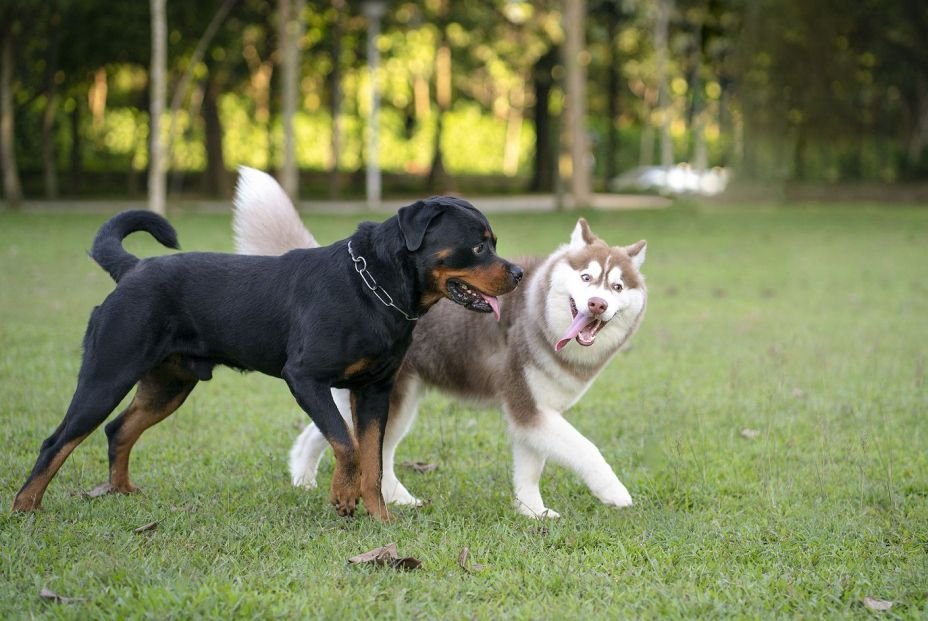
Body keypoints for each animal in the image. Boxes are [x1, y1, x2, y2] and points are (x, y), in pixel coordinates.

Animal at [12, 197, 520, 520]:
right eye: (479, 245)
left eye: (494, 241)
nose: (516, 271)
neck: (374, 287)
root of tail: (133, 269)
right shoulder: (306, 378)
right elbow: (346, 444)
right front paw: (342, 498)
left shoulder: (376, 390)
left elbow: (372, 459)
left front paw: (378, 518)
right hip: (107, 374)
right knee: (57, 441)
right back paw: (26, 508)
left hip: (169, 384)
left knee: (120, 429)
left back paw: (122, 491)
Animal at [234, 173, 644, 512]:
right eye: (587, 277)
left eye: (616, 287)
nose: (597, 304)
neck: (538, 309)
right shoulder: (527, 406)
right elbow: (586, 448)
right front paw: (615, 493)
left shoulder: (532, 413)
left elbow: (530, 469)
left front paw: (533, 512)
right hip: (391, 396)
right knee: (365, 448)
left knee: (340, 440)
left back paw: (316, 483)